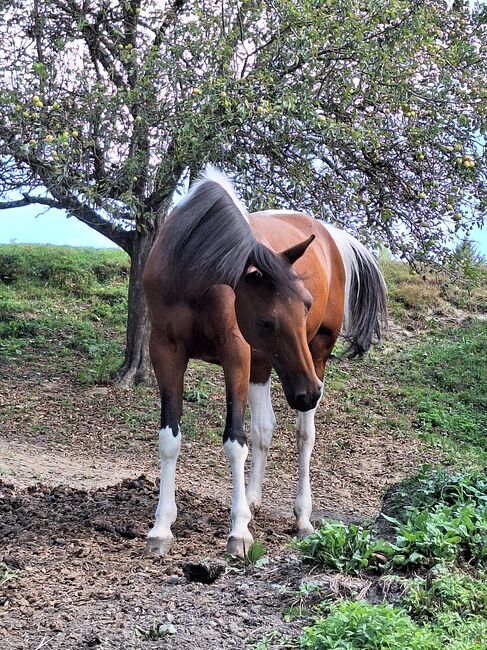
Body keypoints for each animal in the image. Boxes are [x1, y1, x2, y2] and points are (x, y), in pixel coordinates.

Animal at [143, 165, 386, 556]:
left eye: (306, 304)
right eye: (265, 321)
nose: (310, 392)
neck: (192, 267)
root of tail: (331, 237)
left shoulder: (235, 354)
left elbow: (234, 442)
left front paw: (238, 531)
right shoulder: (165, 352)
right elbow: (171, 439)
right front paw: (162, 526)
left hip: (314, 355)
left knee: (304, 436)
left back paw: (301, 518)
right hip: (265, 367)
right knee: (264, 429)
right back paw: (252, 500)